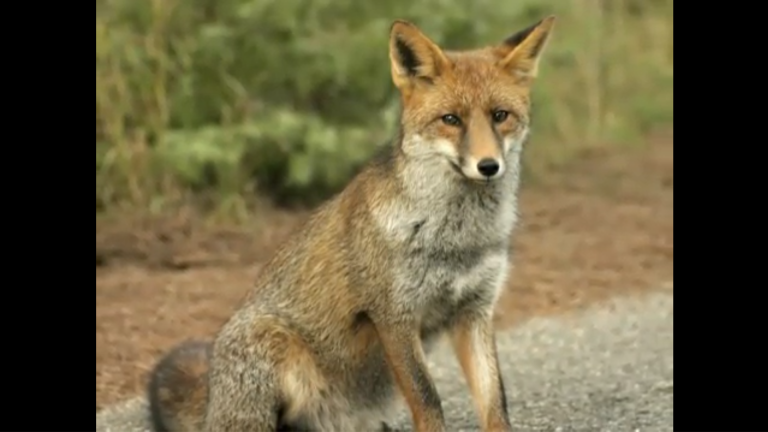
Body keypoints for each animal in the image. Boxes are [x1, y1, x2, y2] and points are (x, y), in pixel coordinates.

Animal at [148, 15, 560, 430]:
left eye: (500, 116)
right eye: (451, 120)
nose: (488, 166)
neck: (457, 240)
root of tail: (212, 398)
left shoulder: (474, 311)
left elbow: (495, 403)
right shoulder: (394, 316)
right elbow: (428, 400)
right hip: (275, 348)